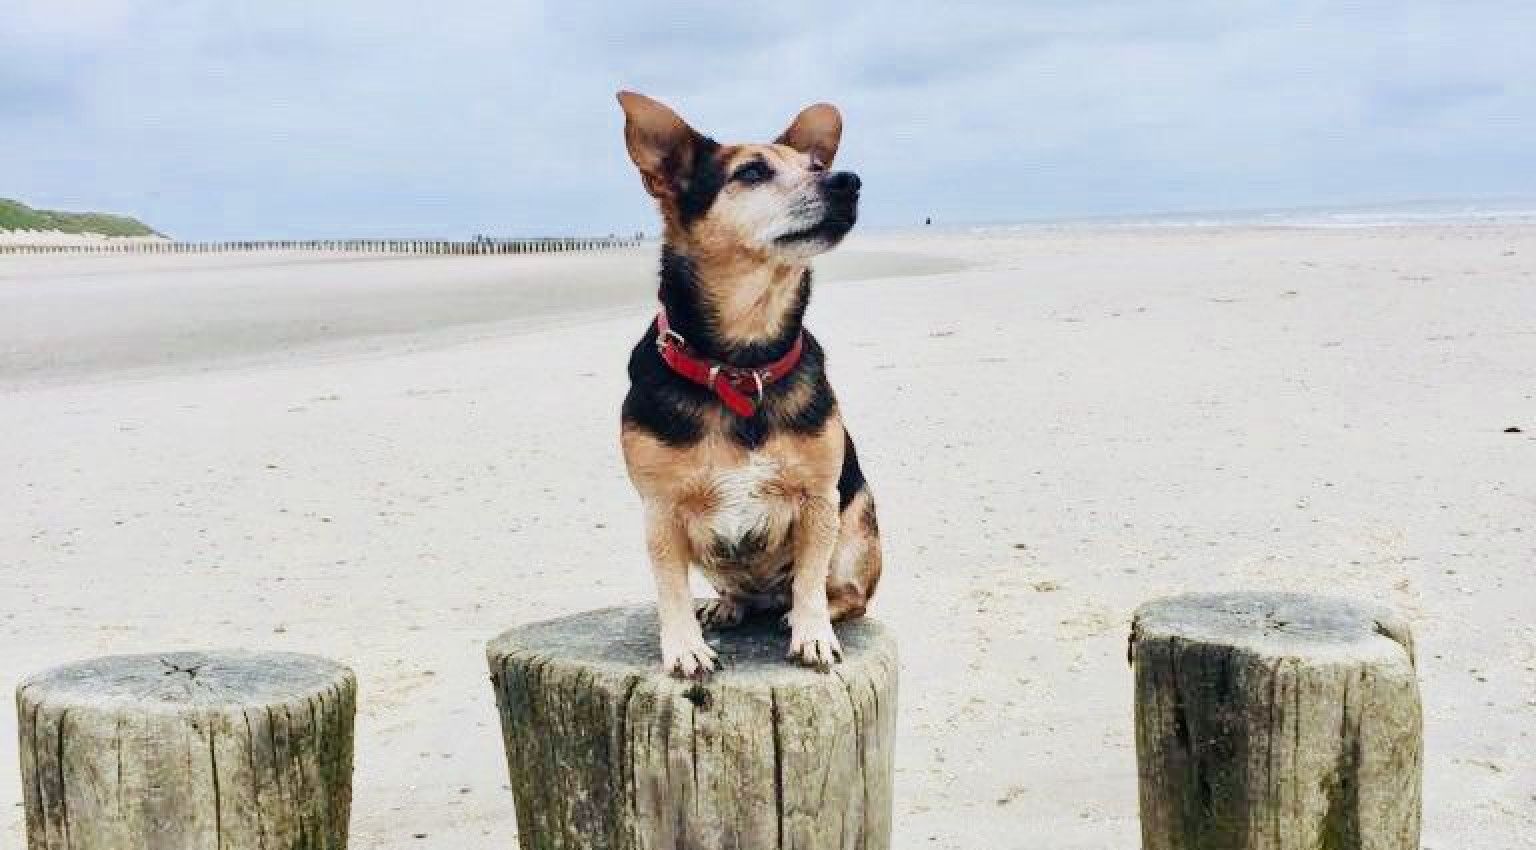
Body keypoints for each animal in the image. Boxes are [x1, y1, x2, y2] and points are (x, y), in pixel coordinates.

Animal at [608, 91, 878, 676]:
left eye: (816, 165)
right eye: (752, 172)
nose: (847, 180)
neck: (742, 361)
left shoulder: (819, 500)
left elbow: (810, 579)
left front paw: (812, 633)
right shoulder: (660, 511)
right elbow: (669, 588)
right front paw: (684, 646)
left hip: (859, 519)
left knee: (841, 592)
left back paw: (796, 612)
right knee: (736, 591)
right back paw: (728, 606)